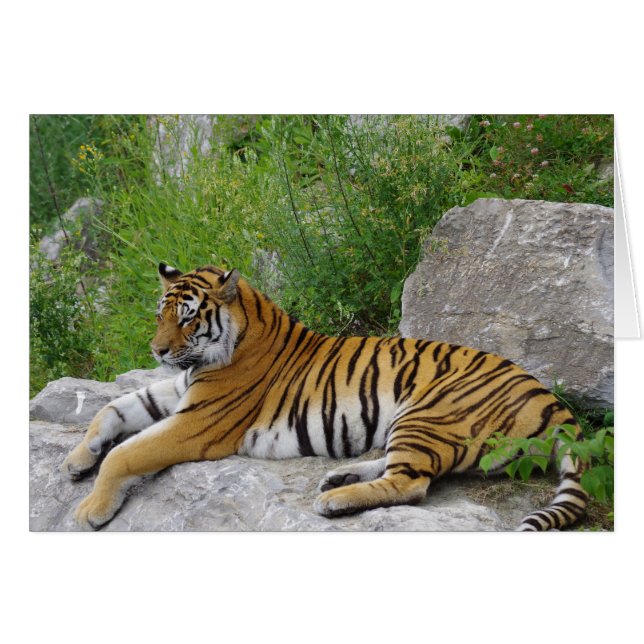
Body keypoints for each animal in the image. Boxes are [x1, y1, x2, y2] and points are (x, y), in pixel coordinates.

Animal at [62, 262, 588, 531]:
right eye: (161, 315)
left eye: (189, 318)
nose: (158, 350)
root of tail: (552, 402)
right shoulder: (176, 390)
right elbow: (112, 409)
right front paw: (76, 460)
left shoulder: (197, 423)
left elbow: (127, 454)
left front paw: (91, 509)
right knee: (403, 469)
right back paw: (339, 477)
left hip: (428, 411)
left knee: (412, 483)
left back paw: (335, 501)